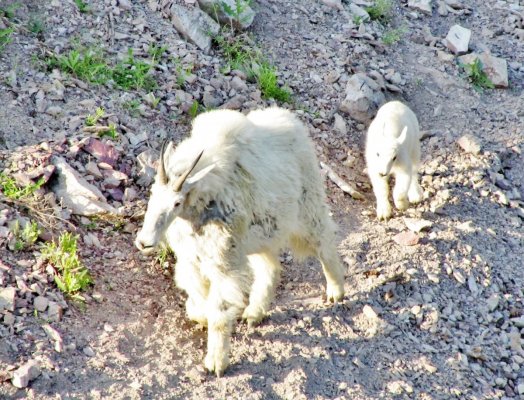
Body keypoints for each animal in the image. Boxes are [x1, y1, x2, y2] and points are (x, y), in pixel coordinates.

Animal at [137, 106, 346, 376]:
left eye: (176, 202)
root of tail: (292, 122)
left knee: (324, 242)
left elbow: (218, 313)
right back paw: (254, 313)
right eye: (152, 192)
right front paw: (202, 318)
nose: (143, 242)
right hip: (259, 236)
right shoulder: (193, 261)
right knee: (270, 267)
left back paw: (335, 291)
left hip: (308, 207)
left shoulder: (224, 264)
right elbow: (198, 305)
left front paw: (216, 363)